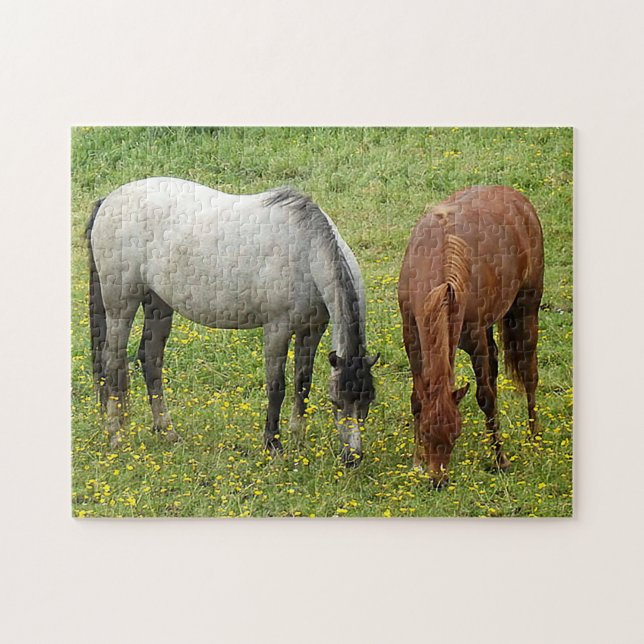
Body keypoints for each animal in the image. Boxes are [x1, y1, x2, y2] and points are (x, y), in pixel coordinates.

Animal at [86, 177, 379, 465]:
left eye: (367, 402)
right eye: (336, 402)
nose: (353, 458)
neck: (306, 250)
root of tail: (109, 200)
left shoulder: (313, 329)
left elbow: (302, 382)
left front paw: (298, 439)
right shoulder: (277, 329)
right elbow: (277, 387)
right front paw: (273, 445)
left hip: (158, 304)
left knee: (150, 360)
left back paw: (167, 431)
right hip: (121, 305)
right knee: (113, 363)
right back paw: (116, 436)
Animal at [397, 185, 544, 487]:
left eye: (456, 433)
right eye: (427, 433)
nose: (438, 481)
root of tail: (518, 200)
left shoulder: (475, 339)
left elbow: (485, 397)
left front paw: (500, 459)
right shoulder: (411, 336)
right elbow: (417, 398)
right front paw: (417, 462)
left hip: (527, 308)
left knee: (529, 373)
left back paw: (533, 436)